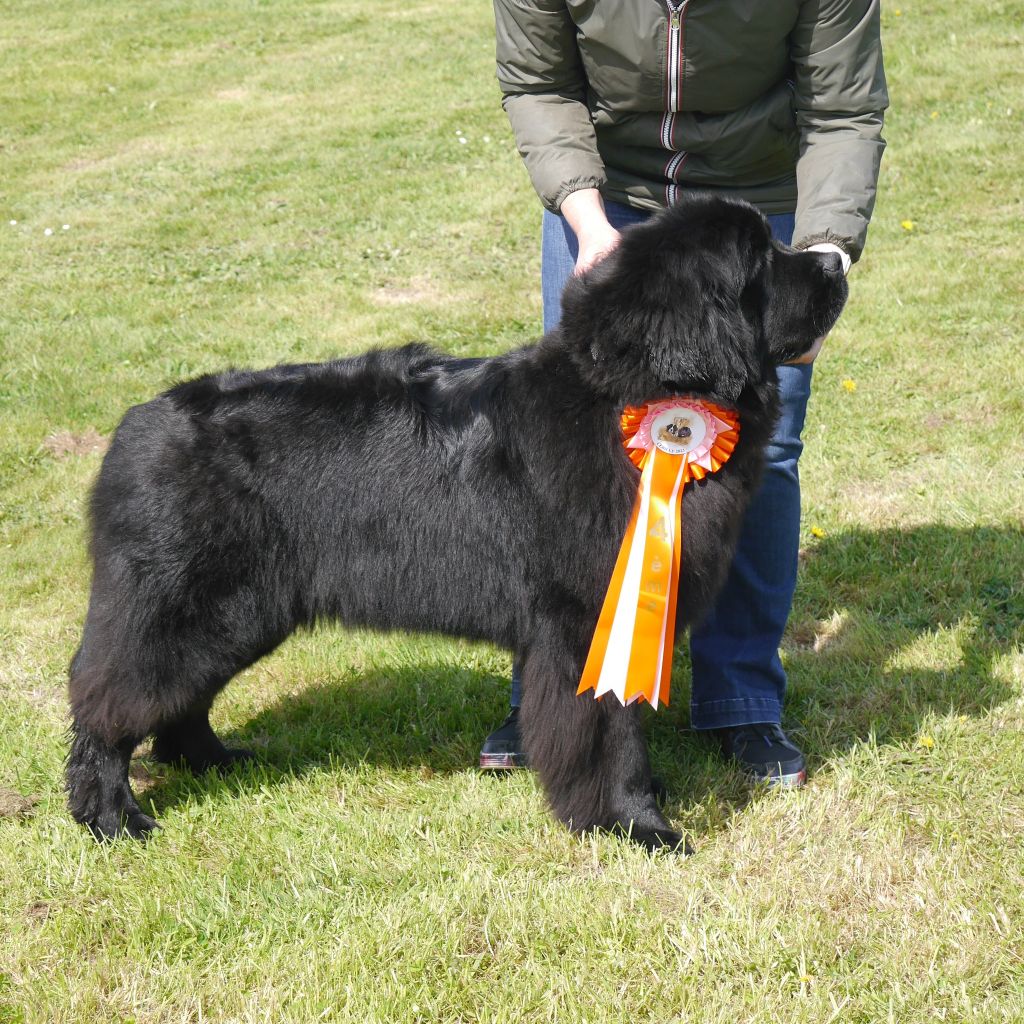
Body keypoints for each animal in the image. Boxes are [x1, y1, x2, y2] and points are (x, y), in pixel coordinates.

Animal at [66, 195, 848, 850]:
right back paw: (112, 816)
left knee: (178, 697)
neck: (631, 398)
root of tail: (135, 424)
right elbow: (609, 733)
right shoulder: (584, 623)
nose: (835, 262)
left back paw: (212, 760)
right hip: (185, 604)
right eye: (760, 260)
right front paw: (636, 824)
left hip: (238, 612)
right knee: (108, 700)